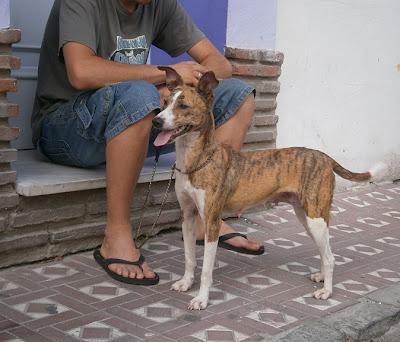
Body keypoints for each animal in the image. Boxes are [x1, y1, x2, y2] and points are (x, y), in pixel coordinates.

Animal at [152, 66, 384, 310]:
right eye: (165, 102)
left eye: (183, 106)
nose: (156, 121)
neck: (196, 161)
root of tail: (324, 156)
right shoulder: (188, 217)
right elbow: (189, 258)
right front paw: (186, 283)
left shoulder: (212, 223)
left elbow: (206, 269)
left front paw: (201, 299)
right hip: (306, 216)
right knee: (324, 252)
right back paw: (321, 277)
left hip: (315, 217)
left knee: (330, 257)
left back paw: (327, 291)